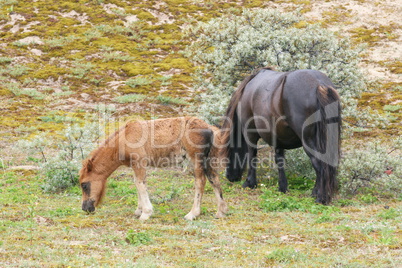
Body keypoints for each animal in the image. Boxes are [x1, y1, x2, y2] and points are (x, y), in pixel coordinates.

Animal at [78, 116, 228, 220]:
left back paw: (192, 214)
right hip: (207, 161)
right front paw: (139, 210)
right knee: (214, 179)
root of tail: (209, 127)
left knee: (200, 182)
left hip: (195, 160)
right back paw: (220, 212)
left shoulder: (140, 163)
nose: (85, 208)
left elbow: (140, 184)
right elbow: (138, 183)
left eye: (84, 185)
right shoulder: (136, 165)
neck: (125, 137)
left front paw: (145, 213)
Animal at [221, 68, 340, 204]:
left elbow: (252, 155)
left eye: (227, 151)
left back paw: (320, 197)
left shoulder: (250, 133)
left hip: (309, 142)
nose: (229, 176)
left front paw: (250, 182)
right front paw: (282, 187)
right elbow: (280, 160)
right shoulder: (278, 138)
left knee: (320, 166)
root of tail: (319, 84)